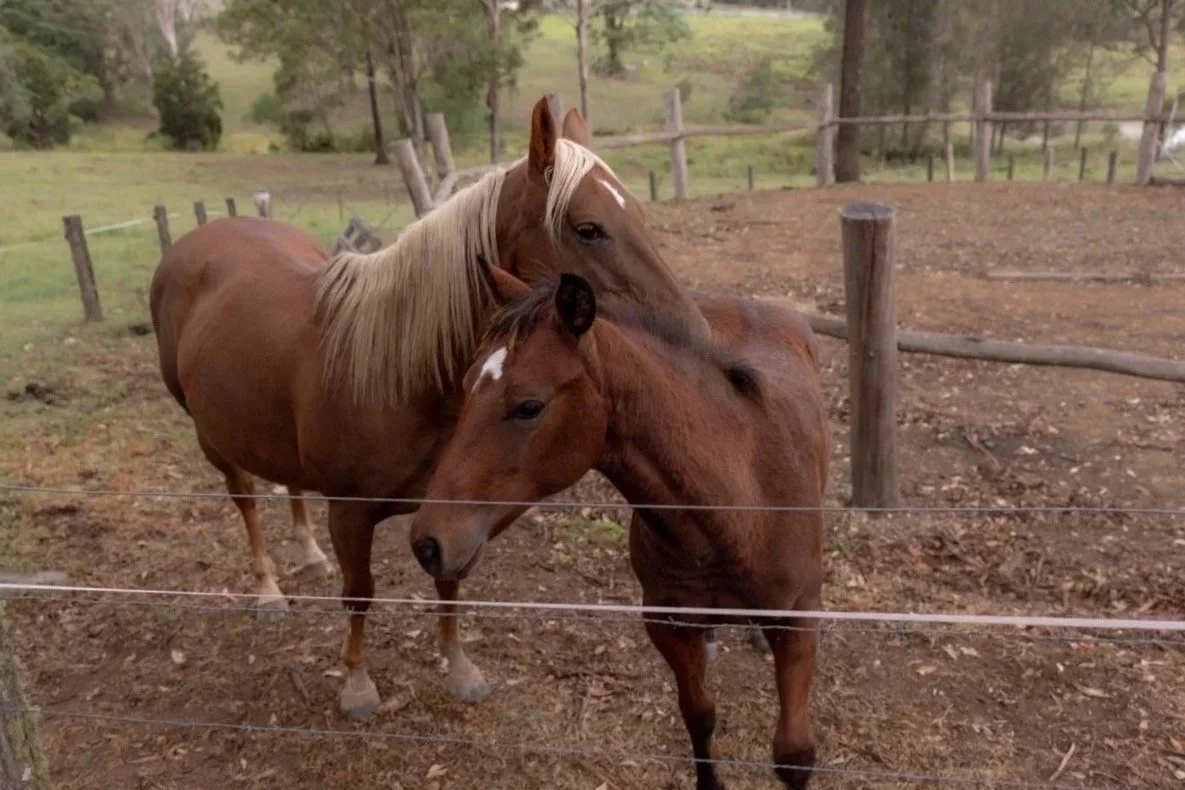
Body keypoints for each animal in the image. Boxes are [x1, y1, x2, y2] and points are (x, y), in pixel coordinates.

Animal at [148, 97, 710, 720]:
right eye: (588, 229)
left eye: (639, 214)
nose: (695, 336)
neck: (401, 375)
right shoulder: (350, 512)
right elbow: (360, 593)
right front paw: (357, 685)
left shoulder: (451, 505)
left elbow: (449, 581)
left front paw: (460, 670)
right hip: (211, 437)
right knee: (245, 497)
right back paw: (269, 590)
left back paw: (308, 553)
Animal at [406, 273, 829, 789]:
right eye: (467, 385)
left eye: (529, 406)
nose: (428, 542)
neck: (740, 499)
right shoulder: (666, 622)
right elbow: (699, 714)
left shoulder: (799, 622)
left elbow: (793, 754)